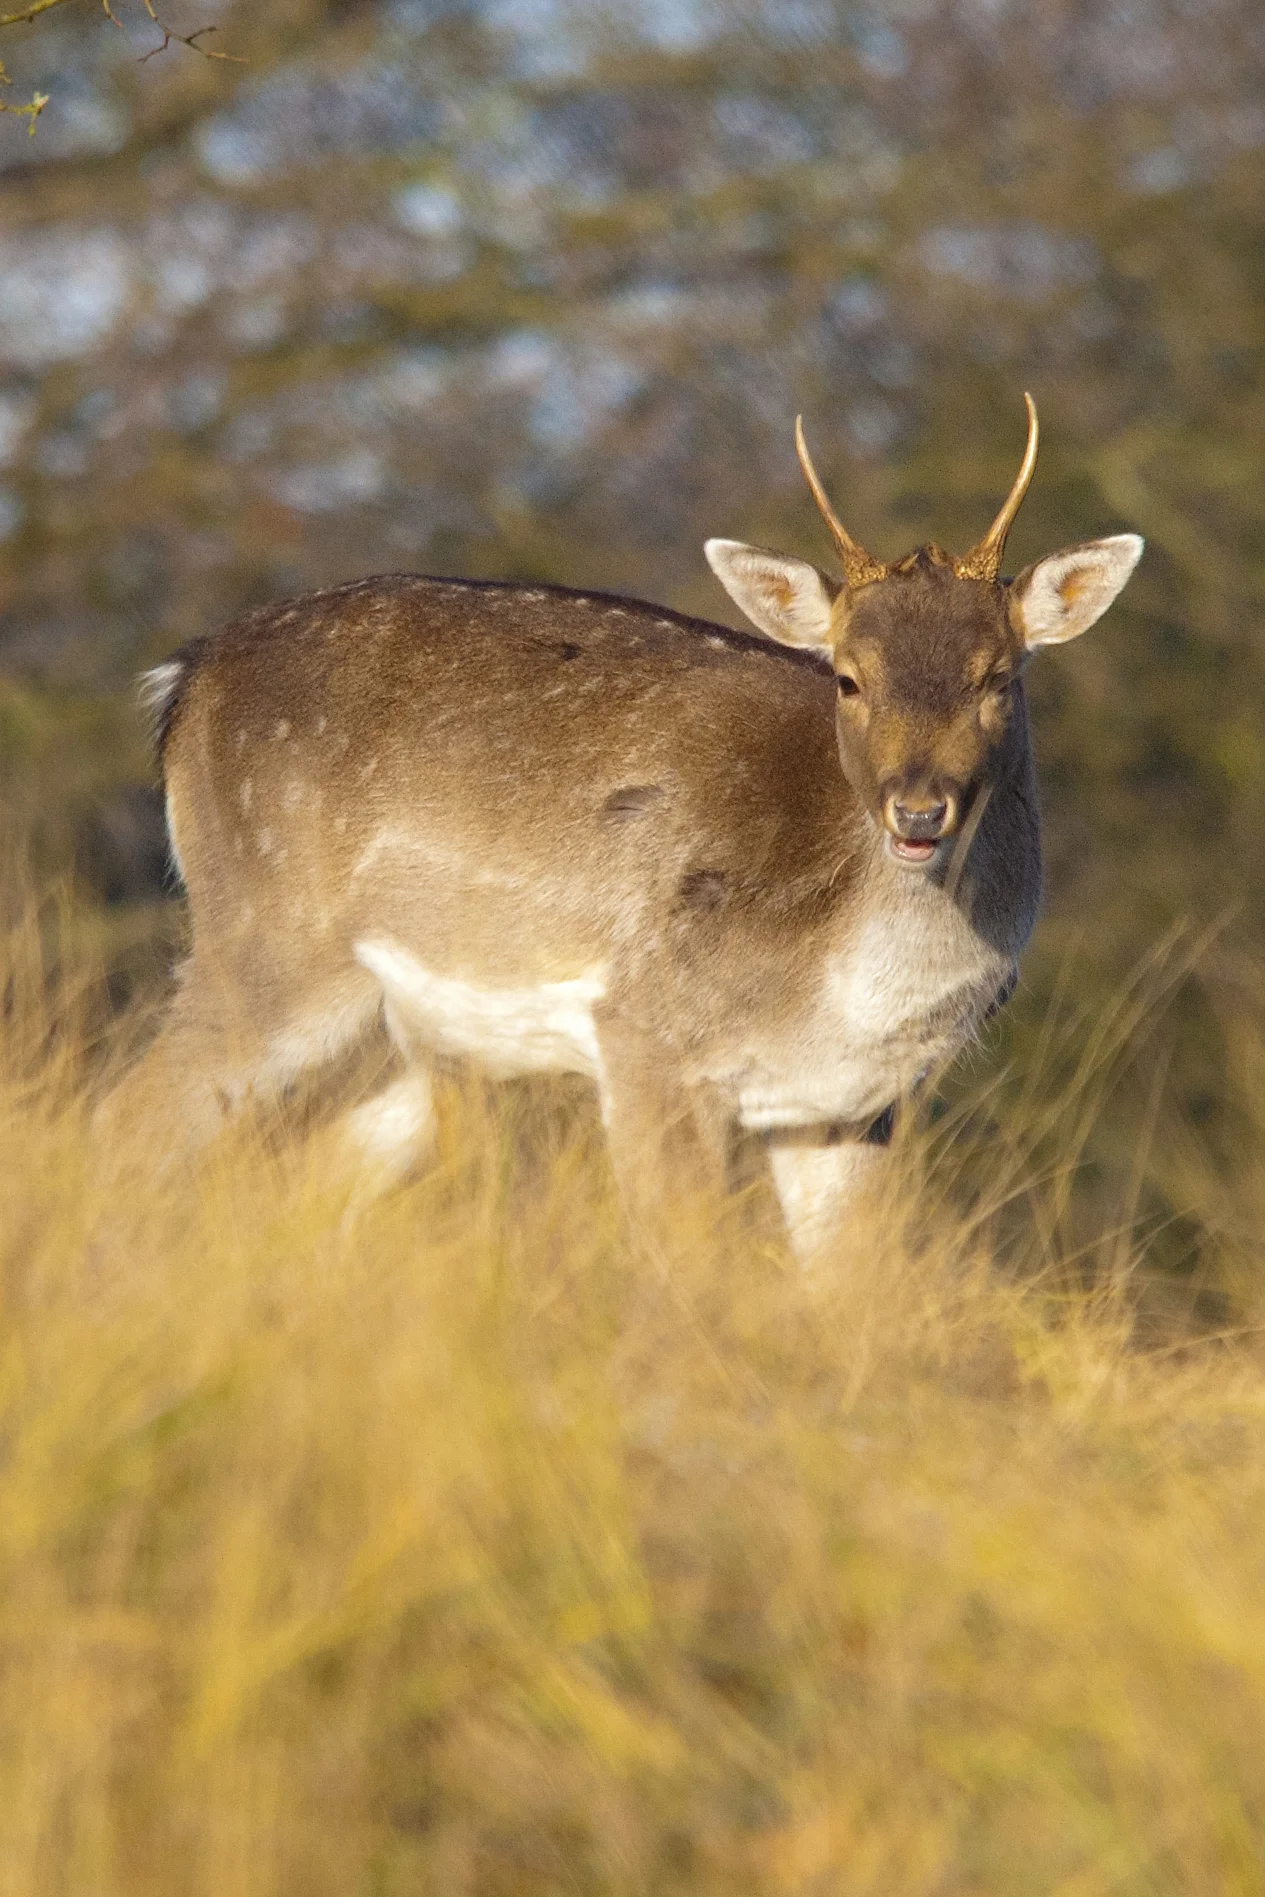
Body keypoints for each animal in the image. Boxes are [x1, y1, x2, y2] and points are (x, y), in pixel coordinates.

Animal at [102, 395, 1142, 1255]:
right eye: (848, 676)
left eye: (997, 677)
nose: (918, 808)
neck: (851, 983)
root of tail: (182, 681)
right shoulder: (648, 1032)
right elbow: (686, 1275)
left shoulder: (848, 1103)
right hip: (266, 940)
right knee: (124, 1127)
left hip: (405, 1036)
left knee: (302, 1178)